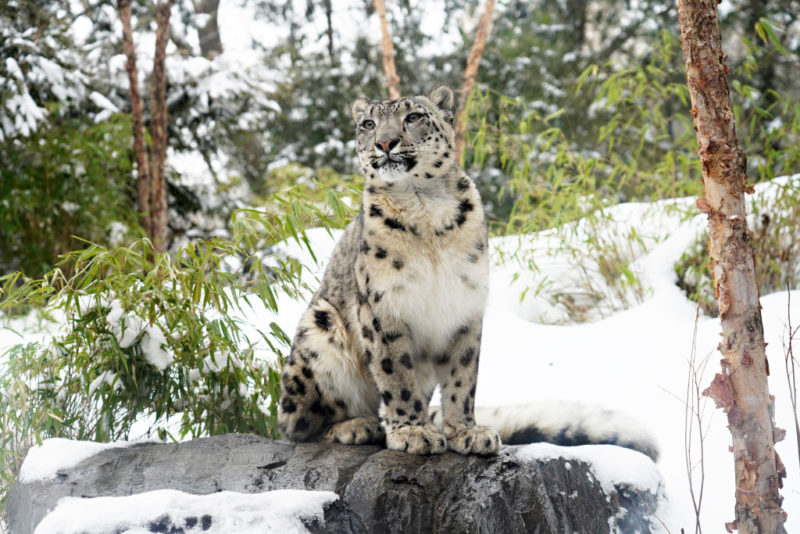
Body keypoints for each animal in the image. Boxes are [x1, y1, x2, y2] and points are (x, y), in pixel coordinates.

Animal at [278, 86, 660, 462]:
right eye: (369, 124)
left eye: (413, 116)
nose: (385, 143)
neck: (424, 207)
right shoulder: (383, 307)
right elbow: (395, 373)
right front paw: (413, 431)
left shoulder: (465, 303)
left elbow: (463, 375)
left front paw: (467, 432)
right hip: (318, 328)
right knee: (299, 427)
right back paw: (360, 425)